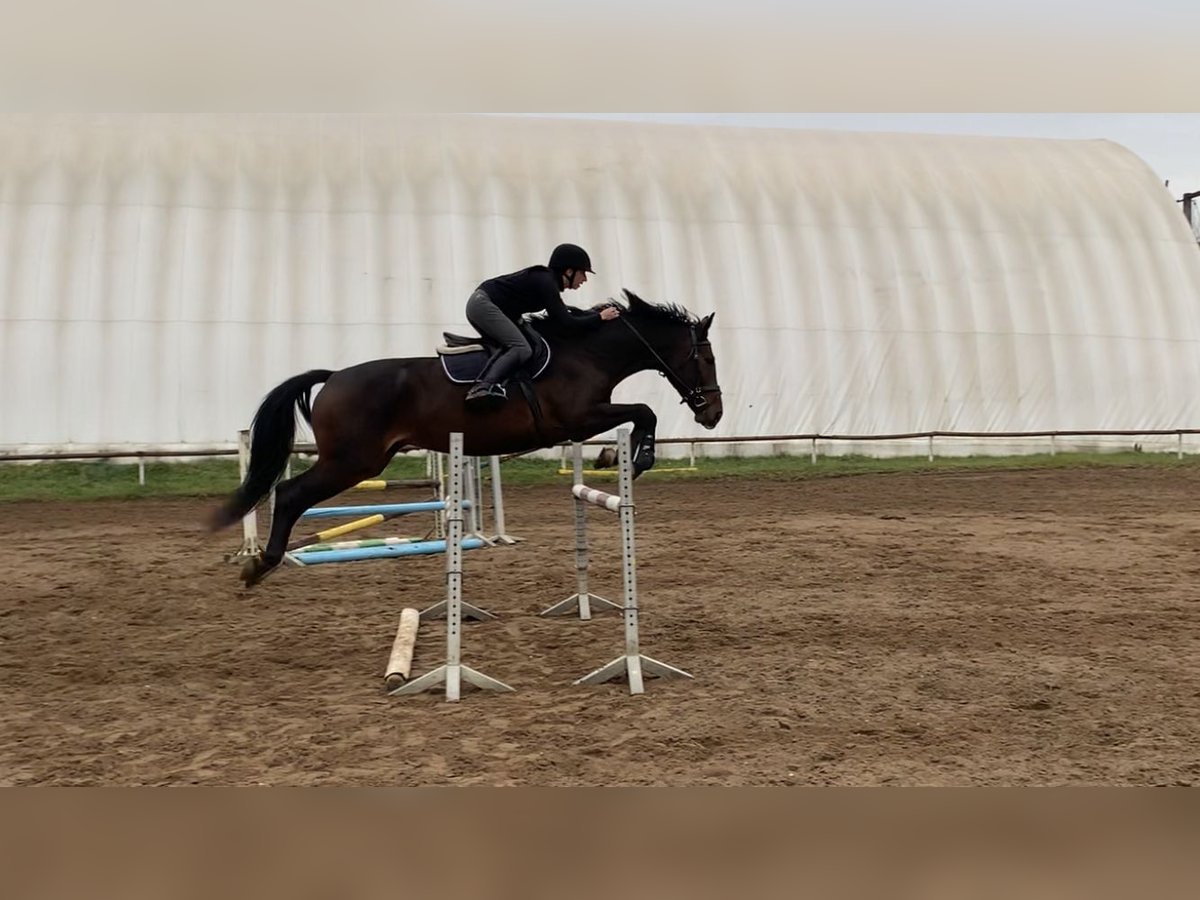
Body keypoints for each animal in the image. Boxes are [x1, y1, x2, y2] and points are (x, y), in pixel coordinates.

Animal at [207, 290, 724, 587]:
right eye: (706, 359)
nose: (713, 414)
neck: (586, 352)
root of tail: (333, 377)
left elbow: (640, 413)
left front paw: (613, 458)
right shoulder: (575, 420)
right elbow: (644, 412)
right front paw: (629, 458)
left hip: (358, 461)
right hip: (353, 462)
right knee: (290, 492)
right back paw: (260, 565)